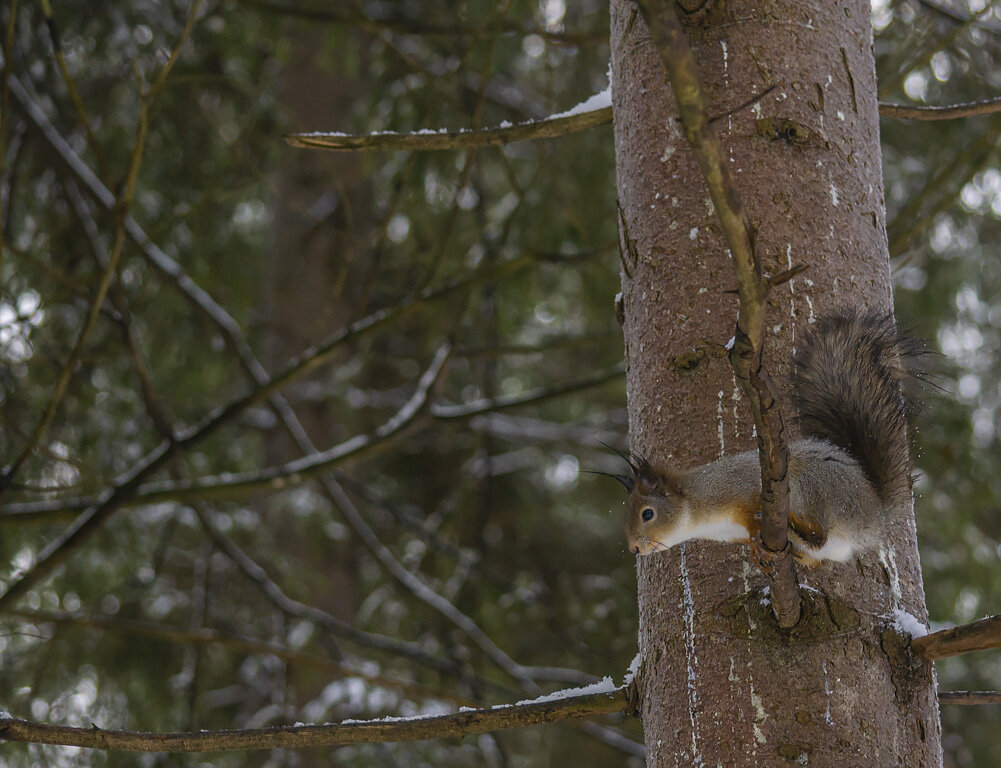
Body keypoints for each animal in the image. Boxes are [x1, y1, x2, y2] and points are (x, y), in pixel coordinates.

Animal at [612, 308, 924, 568]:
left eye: (647, 514)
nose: (634, 548)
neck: (701, 507)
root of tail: (875, 516)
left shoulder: (741, 488)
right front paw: (756, 551)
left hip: (814, 486)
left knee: (820, 534)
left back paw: (796, 527)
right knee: (817, 552)